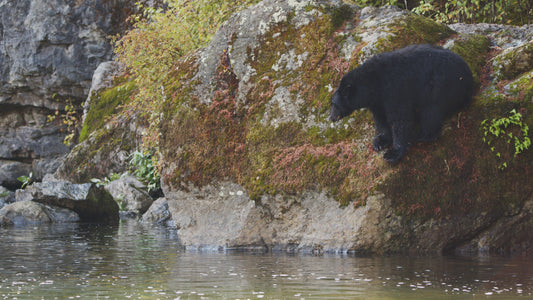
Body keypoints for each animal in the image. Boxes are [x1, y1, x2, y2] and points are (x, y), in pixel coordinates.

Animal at [328, 43, 474, 163]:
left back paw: (424, 136)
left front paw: (393, 153)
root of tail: (469, 77)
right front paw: (380, 141)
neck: (373, 83)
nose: (331, 118)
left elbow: (400, 119)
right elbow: (380, 118)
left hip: (440, 84)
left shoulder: (395, 89)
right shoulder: (377, 100)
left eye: (333, 104)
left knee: (431, 110)